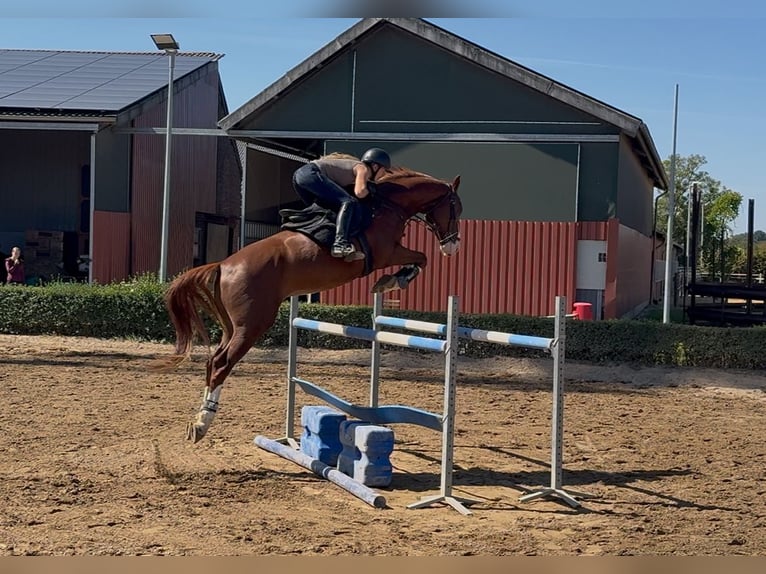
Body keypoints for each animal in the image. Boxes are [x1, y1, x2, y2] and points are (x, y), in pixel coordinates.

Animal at [155, 166, 463, 442]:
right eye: (456, 208)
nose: (453, 246)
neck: (388, 204)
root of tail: (223, 265)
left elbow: (420, 258)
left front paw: (388, 282)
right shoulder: (387, 252)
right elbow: (421, 257)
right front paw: (391, 281)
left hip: (232, 326)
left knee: (213, 361)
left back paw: (199, 419)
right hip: (252, 325)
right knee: (221, 363)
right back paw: (203, 422)